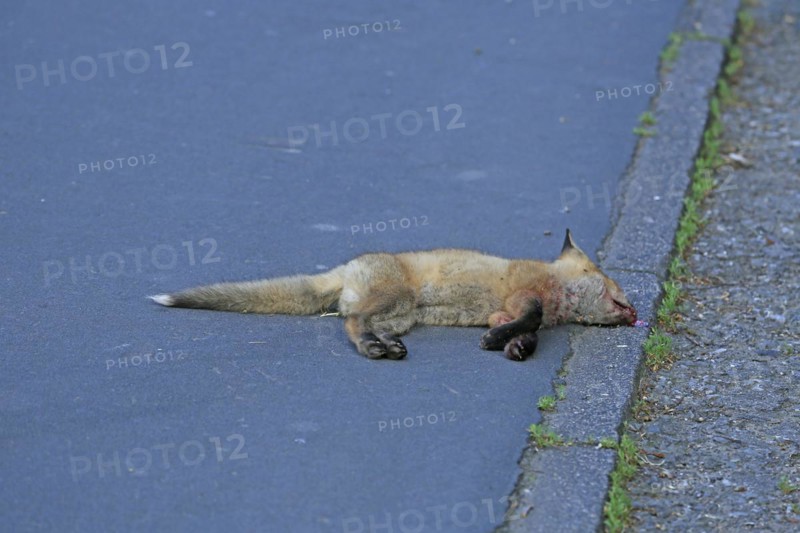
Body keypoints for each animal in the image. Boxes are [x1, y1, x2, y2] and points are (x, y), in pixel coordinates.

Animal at [149, 229, 637, 361]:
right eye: (616, 285)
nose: (637, 312)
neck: (557, 288)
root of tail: (349, 266)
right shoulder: (522, 295)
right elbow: (532, 317)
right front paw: (502, 343)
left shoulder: (504, 310)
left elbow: (529, 331)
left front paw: (514, 346)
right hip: (397, 300)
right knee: (350, 323)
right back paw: (372, 348)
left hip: (402, 315)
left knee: (359, 323)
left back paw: (384, 345)